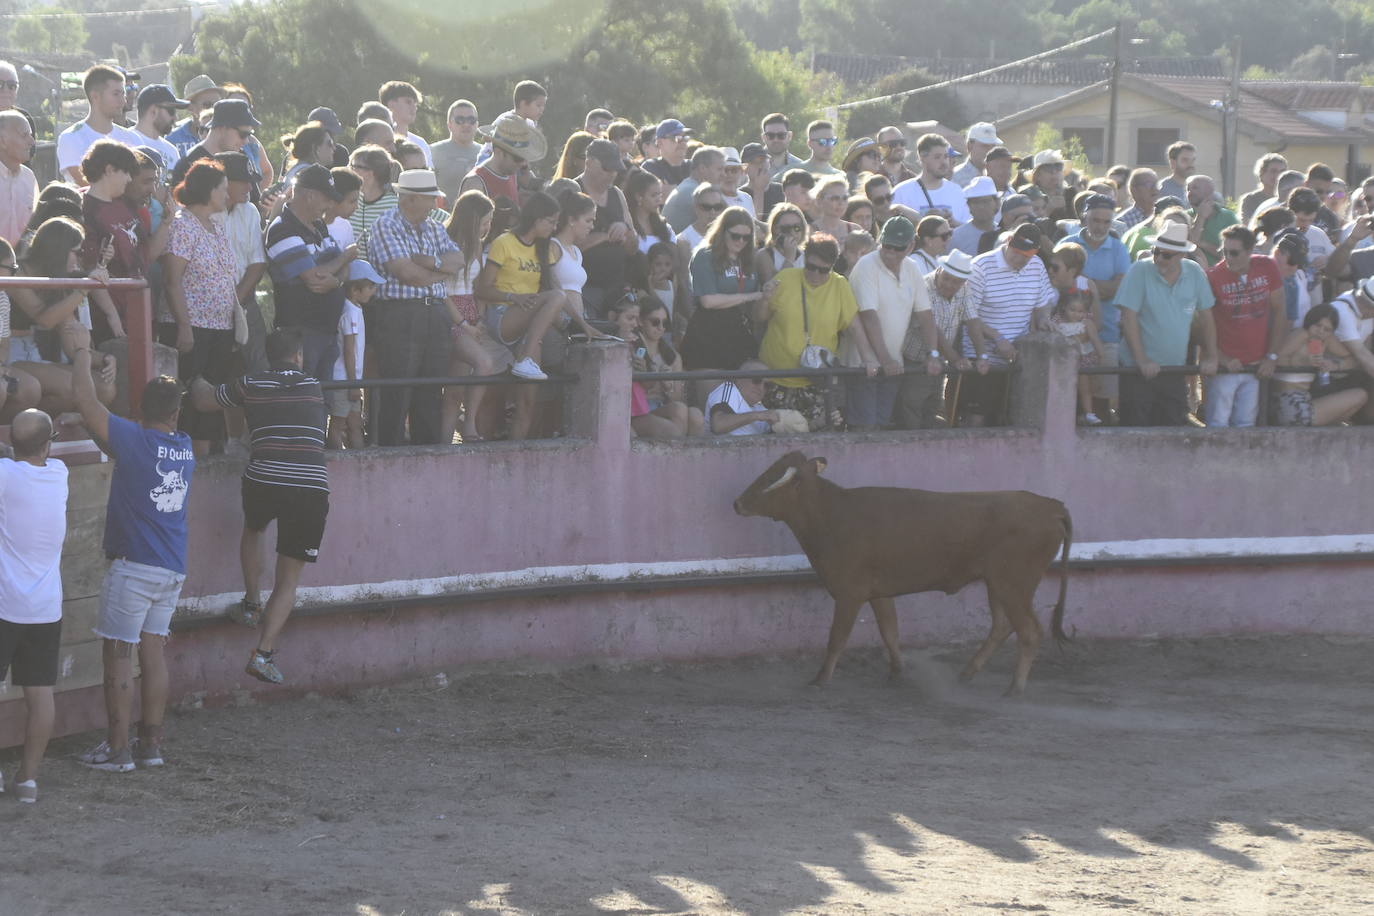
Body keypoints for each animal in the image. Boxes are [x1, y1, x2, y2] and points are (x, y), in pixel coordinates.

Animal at [741, 450, 1071, 694]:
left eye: (772, 477)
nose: (737, 503)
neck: (830, 514)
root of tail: (1051, 506)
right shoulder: (878, 592)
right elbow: (890, 630)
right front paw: (897, 671)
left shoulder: (850, 593)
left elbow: (838, 637)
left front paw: (820, 680)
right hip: (998, 583)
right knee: (1002, 626)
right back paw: (967, 673)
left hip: (1015, 584)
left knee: (1028, 631)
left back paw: (1015, 688)